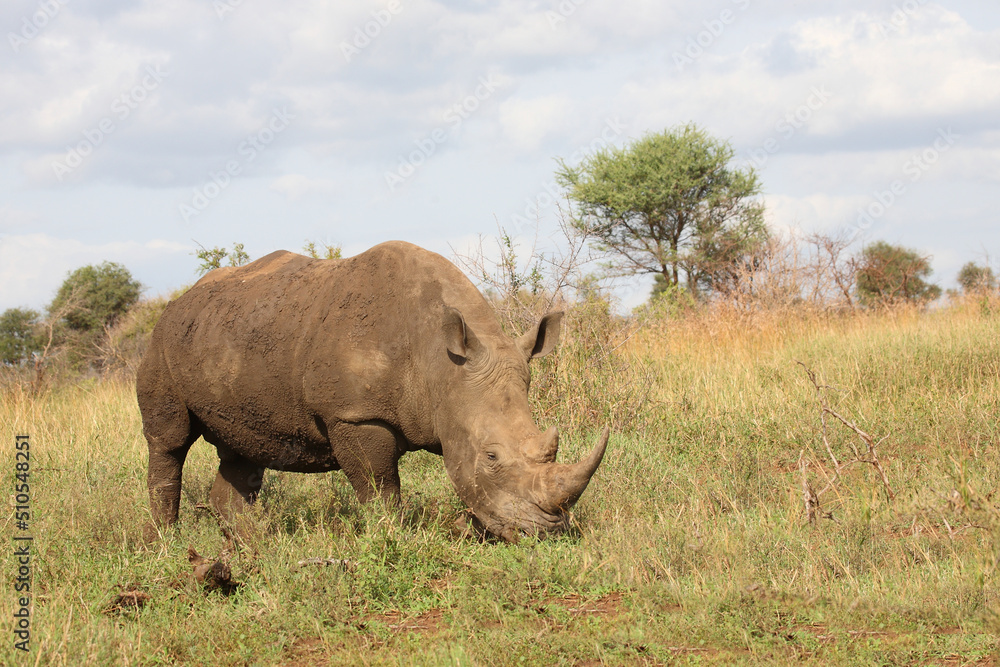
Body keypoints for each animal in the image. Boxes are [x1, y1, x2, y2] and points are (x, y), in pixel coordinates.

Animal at [136, 241, 608, 542]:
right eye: (491, 457)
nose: (544, 533)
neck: (442, 366)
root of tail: (179, 299)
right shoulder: (355, 414)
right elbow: (381, 488)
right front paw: (390, 539)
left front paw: (468, 529)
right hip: (160, 343)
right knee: (169, 441)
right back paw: (167, 542)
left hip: (232, 343)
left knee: (242, 449)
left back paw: (255, 545)